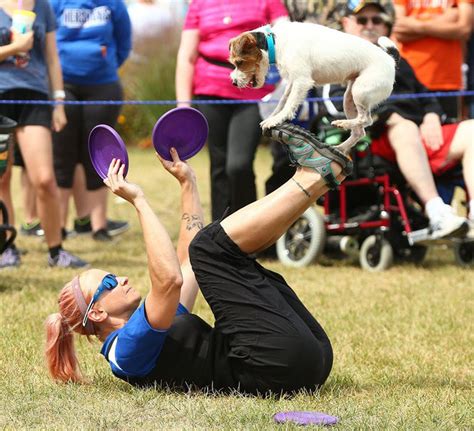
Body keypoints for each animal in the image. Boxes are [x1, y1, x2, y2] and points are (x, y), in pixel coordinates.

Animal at [228, 22, 398, 154]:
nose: (234, 83)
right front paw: (274, 116)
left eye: (239, 62)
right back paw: (340, 148)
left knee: (367, 119)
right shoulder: (293, 81)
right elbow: (283, 101)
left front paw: (276, 119)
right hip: (349, 99)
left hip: (360, 91)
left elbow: (289, 104)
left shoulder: (301, 81)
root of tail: (391, 60)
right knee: (360, 131)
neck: (274, 41)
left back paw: (343, 124)